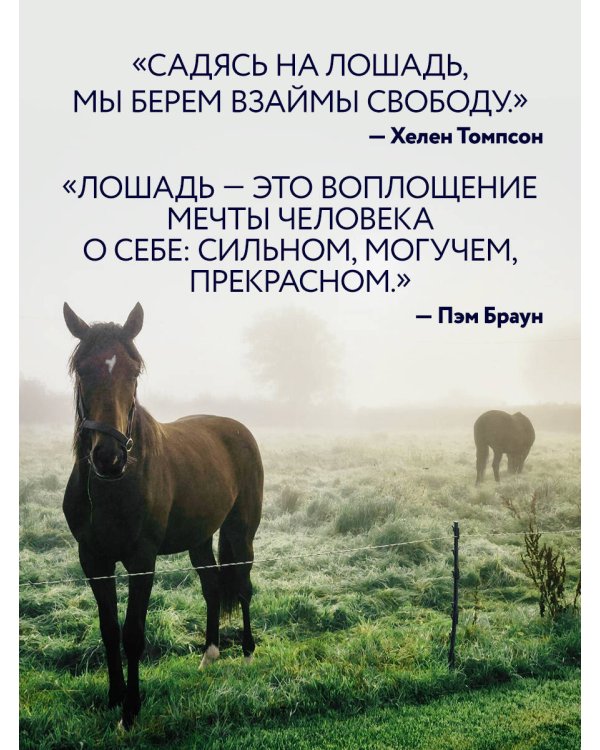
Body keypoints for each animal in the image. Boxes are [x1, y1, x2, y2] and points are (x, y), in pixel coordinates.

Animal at [62, 302, 263, 728]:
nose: (109, 457)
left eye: (133, 372)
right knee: (212, 586)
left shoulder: (142, 560)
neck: (114, 488)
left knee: (242, 586)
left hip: (242, 531)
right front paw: (114, 697)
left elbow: (133, 634)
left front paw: (131, 712)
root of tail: (237, 428)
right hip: (200, 537)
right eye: (82, 369)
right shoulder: (93, 560)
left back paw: (248, 654)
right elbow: (109, 630)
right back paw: (209, 656)